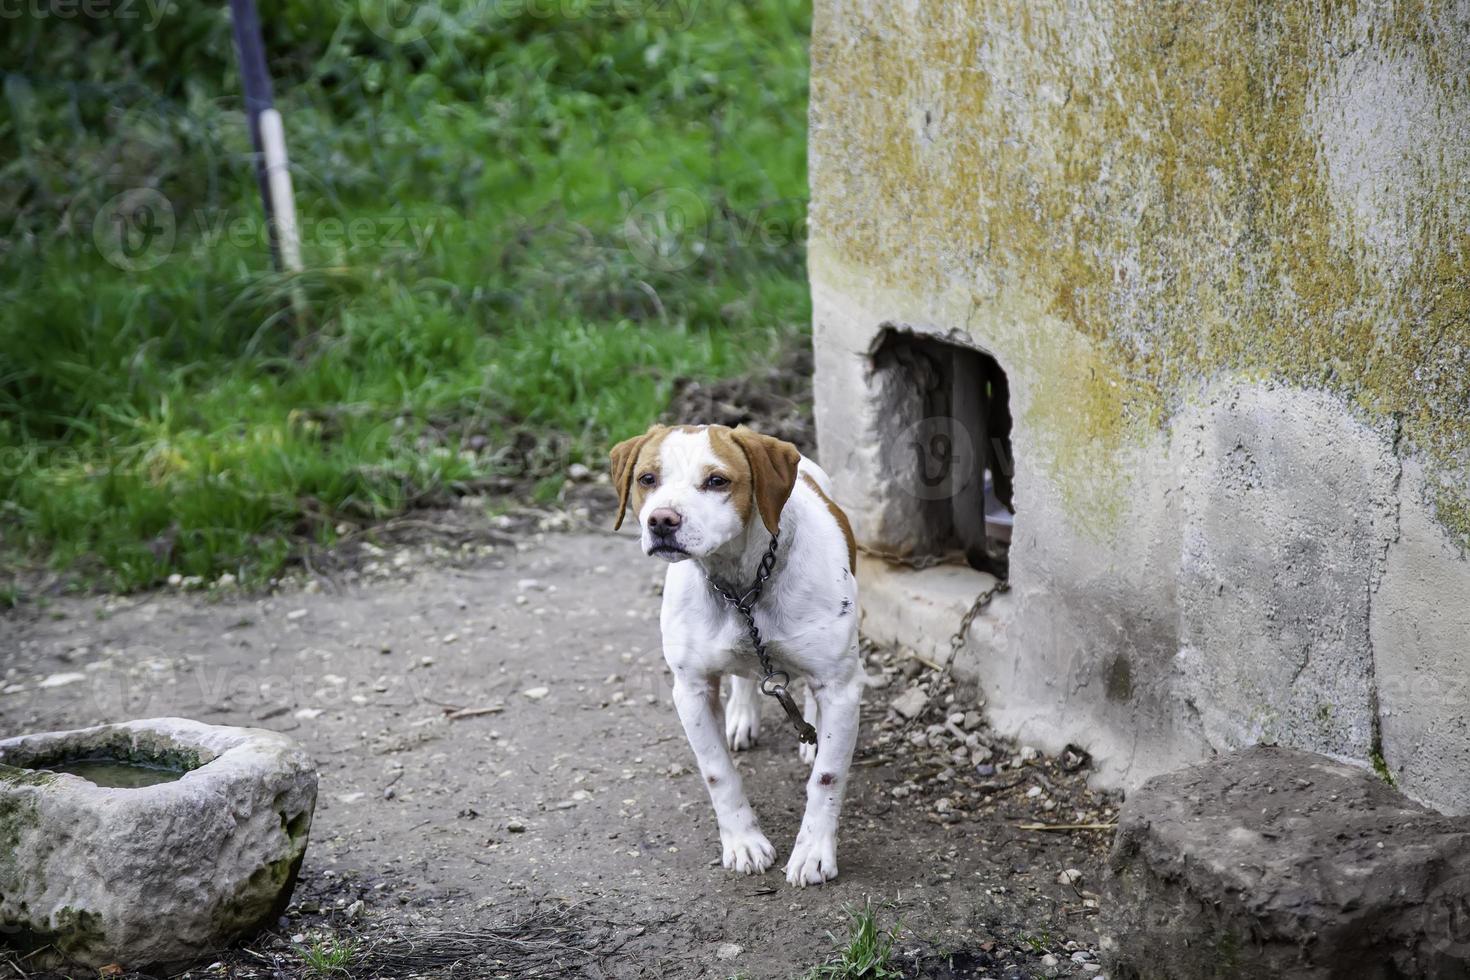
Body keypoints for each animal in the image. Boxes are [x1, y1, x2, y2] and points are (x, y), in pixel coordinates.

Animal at [608, 426, 858, 887]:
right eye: (647, 479)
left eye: (717, 481)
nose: (662, 521)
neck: (742, 585)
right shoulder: (691, 690)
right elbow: (718, 773)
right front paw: (744, 843)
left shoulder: (842, 687)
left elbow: (828, 777)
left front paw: (814, 853)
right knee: (746, 676)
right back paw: (743, 717)